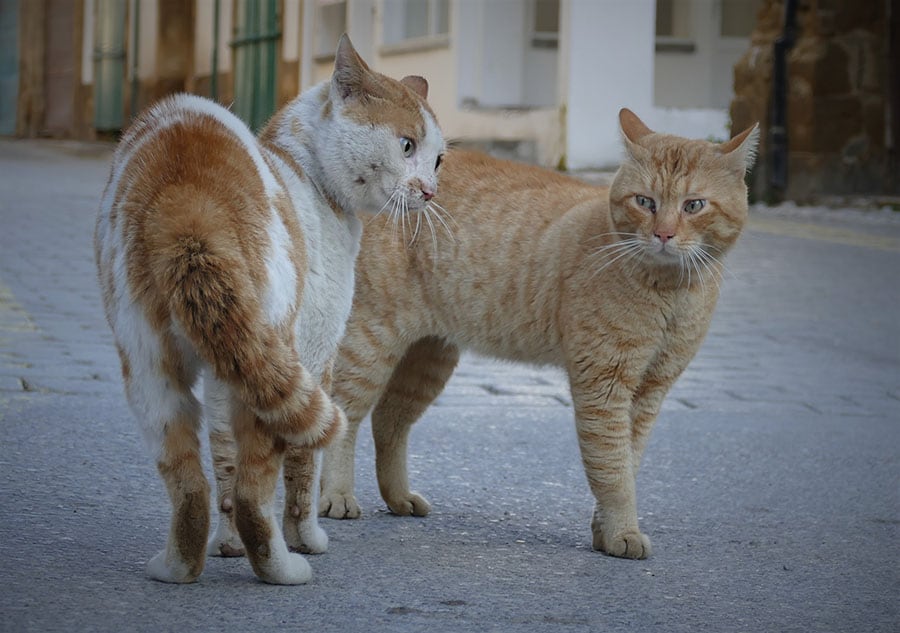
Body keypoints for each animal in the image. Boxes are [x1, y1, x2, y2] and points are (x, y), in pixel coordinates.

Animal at [95, 35, 446, 584]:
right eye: (407, 146)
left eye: (439, 161)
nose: (430, 192)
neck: (309, 174)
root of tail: (186, 191)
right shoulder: (317, 356)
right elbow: (304, 466)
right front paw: (306, 538)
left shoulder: (224, 375)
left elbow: (222, 461)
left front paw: (226, 546)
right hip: (273, 350)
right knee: (256, 491)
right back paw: (281, 566)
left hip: (154, 365)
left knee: (191, 484)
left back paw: (179, 566)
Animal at [312, 108, 756, 556]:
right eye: (645, 201)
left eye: (694, 205)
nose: (663, 234)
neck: (672, 293)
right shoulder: (605, 385)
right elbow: (611, 469)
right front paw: (623, 532)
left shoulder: (651, 392)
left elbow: (628, 461)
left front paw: (605, 531)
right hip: (372, 344)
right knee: (345, 415)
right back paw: (337, 495)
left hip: (429, 359)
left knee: (389, 420)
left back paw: (398, 497)